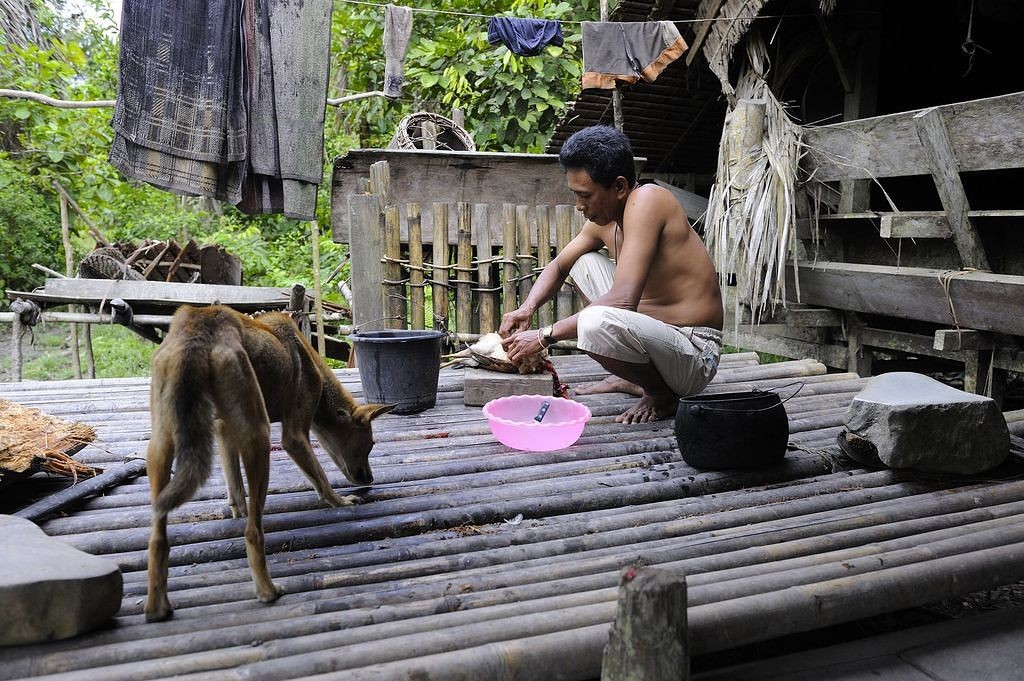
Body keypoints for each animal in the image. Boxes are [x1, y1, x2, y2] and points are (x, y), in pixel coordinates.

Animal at [146, 307, 393, 622]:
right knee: (253, 532)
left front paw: (235, 509)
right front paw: (341, 501)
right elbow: (321, 479)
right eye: (370, 445)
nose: (370, 479)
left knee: (157, 539)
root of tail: (201, 325)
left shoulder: (223, 428)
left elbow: (236, 489)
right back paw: (267, 590)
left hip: (161, 444)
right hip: (259, 436)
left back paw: (157, 607)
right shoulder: (294, 436)